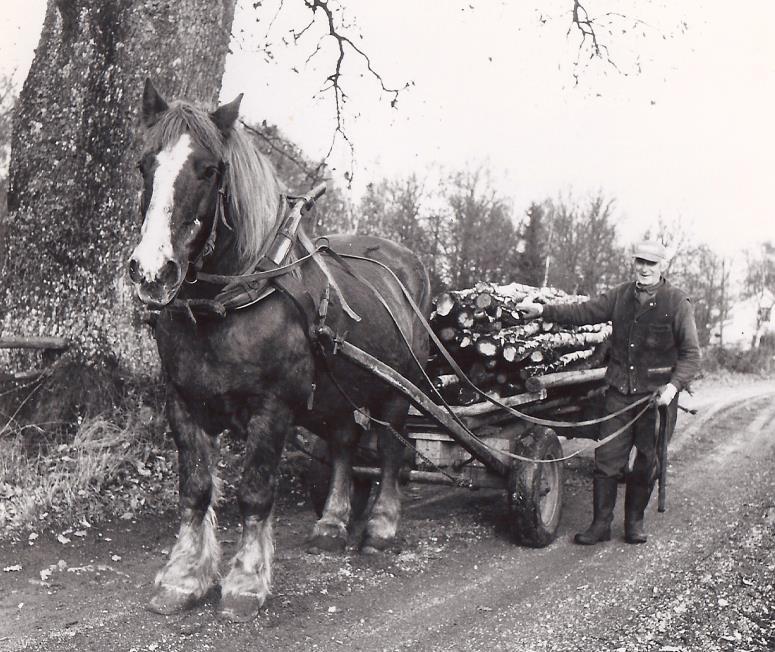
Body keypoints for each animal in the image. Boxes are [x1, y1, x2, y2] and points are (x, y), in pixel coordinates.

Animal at [126, 81, 430, 620]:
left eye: (209, 169)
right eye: (146, 163)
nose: (151, 272)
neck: (226, 304)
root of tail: (410, 265)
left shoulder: (273, 408)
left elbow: (254, 491)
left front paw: (246, 581)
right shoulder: (183, 401)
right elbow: (195, 490)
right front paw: (183, 577)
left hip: (396, 392)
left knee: (392, 451)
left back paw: (380, 527)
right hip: (340, 395)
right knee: (344, 446)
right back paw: (332, 522)